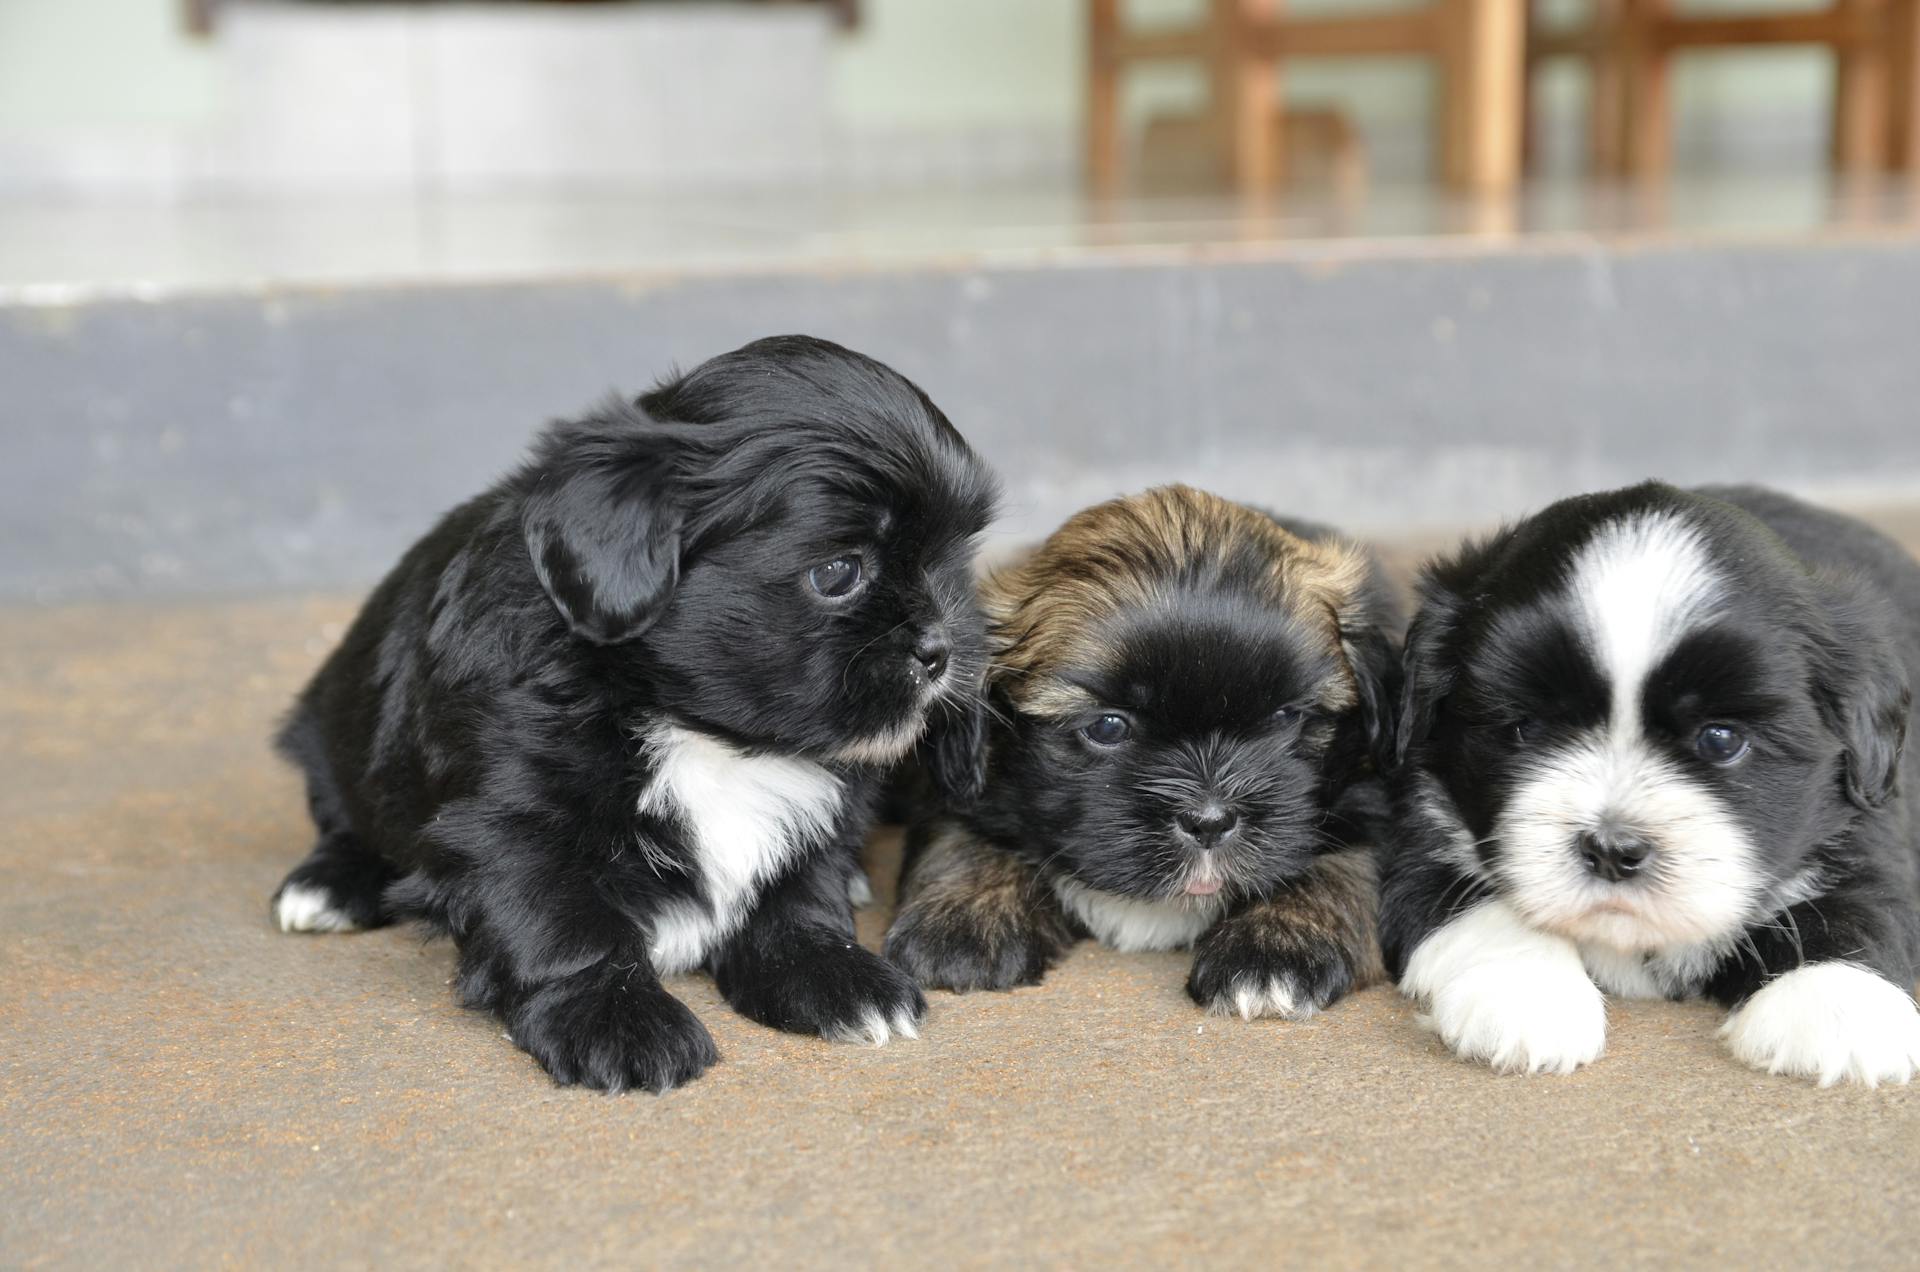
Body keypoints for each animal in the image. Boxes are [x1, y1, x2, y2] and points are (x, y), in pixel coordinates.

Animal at [272, 338, 1006, 1099]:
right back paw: (328, 884)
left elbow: (796, 895)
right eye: (838, 572)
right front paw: (615, 1019)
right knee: (344, 814)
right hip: (333, 735)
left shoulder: (818, 805)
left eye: (950, 561)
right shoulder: (511, 821)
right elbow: (561, 925)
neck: (704, 730)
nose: (943, 648)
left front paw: (831, 973)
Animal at [883, 488, 1397, 1029]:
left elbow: (1342, 869)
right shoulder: (957, 781)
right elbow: (959, 839)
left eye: (1285, 716)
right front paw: (963, 918)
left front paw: (1274, 949)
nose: (1209, 822)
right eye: (1107, 728)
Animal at [1382, 484, 1920, 1091]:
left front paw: (1836, 1003)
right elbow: (1474, 903)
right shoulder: (1422, 828)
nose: (1612, 851)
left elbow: (1856, 904)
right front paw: (1527, 995)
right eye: (1526, 728)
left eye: (1720, 739)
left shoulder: (1865, 816)